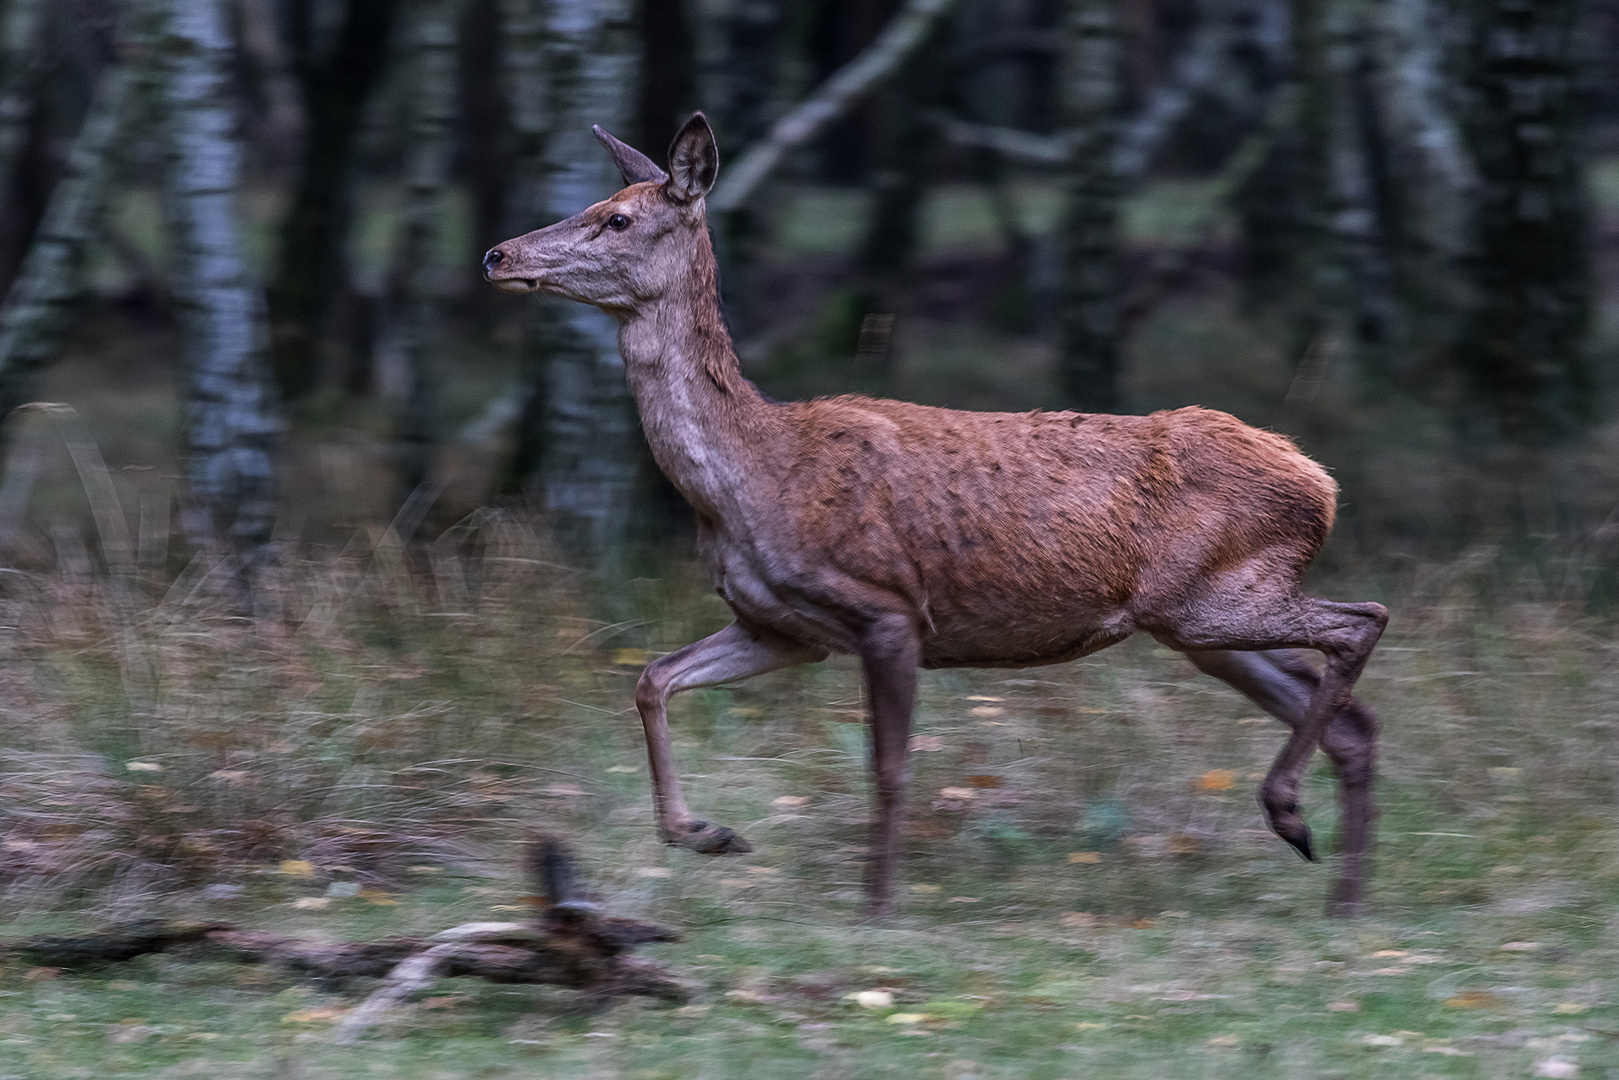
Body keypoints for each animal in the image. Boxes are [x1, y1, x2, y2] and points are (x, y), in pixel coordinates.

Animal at [482, 114, 1392, 919]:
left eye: (617, 218)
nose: (498, 253)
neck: (748, 478)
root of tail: (1320, 481)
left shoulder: (887, 609)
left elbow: (888, 769)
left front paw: (877, 910)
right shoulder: (781, 626)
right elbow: (652, 677)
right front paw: (706, 834)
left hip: (1213, 599)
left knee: (1363, 619)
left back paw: (1289, 814)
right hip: (1198, 622)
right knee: (1352, 719)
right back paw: (1341, 899)